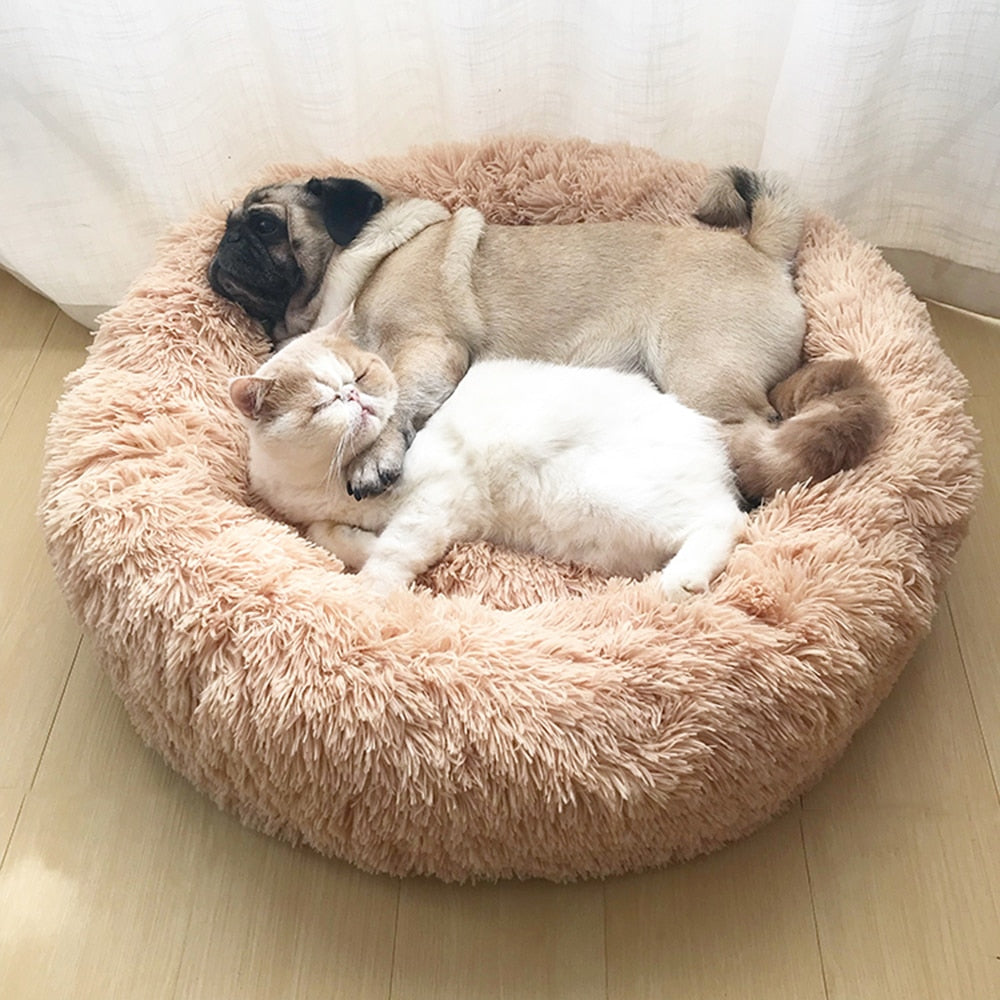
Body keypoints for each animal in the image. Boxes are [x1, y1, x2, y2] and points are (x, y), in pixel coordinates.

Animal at [209, 172, 884, 504]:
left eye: (264, 225)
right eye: (229, 226)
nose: (224, 246)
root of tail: (762, 250)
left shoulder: (428, 348)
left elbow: (393, 404)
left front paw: (374, 457)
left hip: (702, 376)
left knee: (756, 438)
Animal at [230, 320, 748, 596]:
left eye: (360, 375)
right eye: (321, 404)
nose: (355, 398)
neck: (327, 483)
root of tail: (708, 436)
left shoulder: (439, 498)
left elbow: (392, 552)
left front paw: (371, 595)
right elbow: (334, 536)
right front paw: (348, 541)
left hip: (613, 496)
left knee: (724, 519)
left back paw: (681, 580)